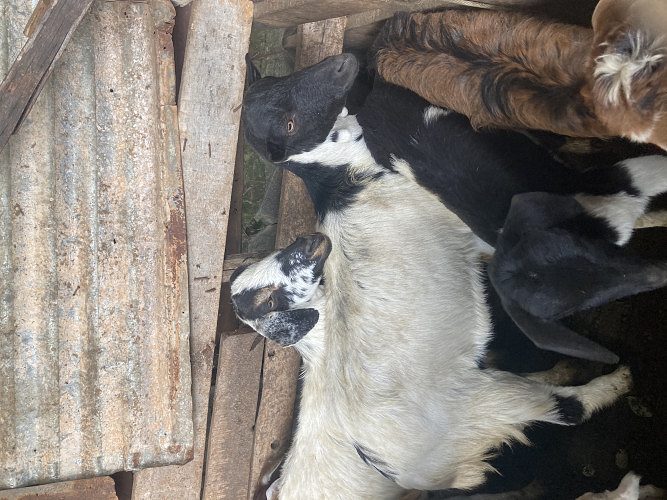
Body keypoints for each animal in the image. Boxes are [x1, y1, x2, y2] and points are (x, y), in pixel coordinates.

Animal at [231, 233, 633, 498]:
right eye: (268, 300)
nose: (311, 239)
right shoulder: (489, 410)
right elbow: (572, 407)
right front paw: (621, 380)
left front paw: (567, 369)